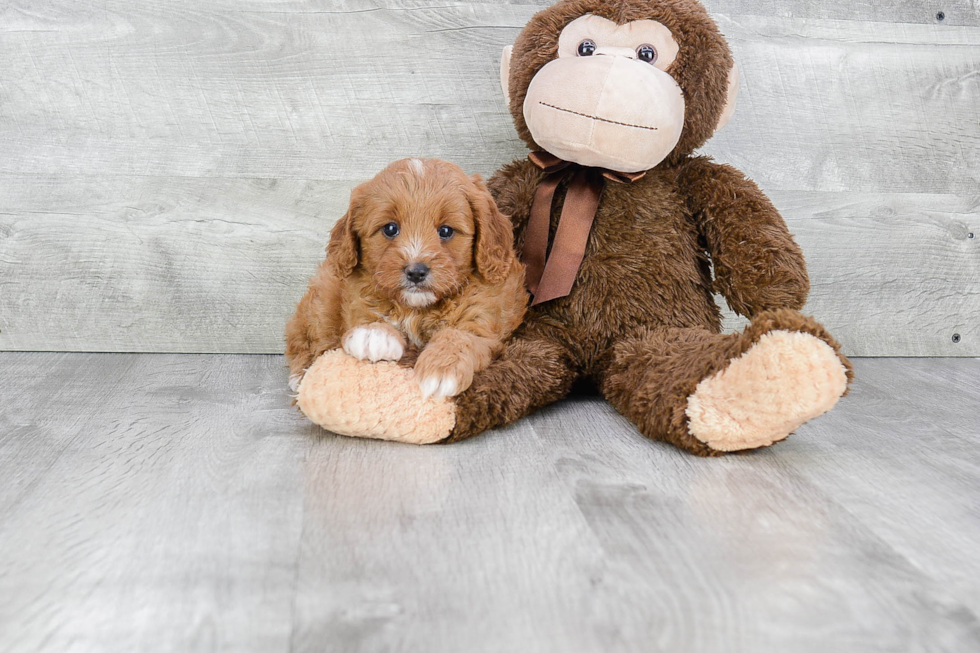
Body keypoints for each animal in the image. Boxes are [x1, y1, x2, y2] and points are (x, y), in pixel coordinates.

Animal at [286, 160, 528, 400]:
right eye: (390, 228)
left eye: (446, 231)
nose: (416, 272)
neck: (417, 309)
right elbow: (368, 313)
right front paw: (374, 333)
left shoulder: (483, 316)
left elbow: (461, 335)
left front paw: (441, 367)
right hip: (323, 295)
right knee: (306, 336)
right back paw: (300, 374)